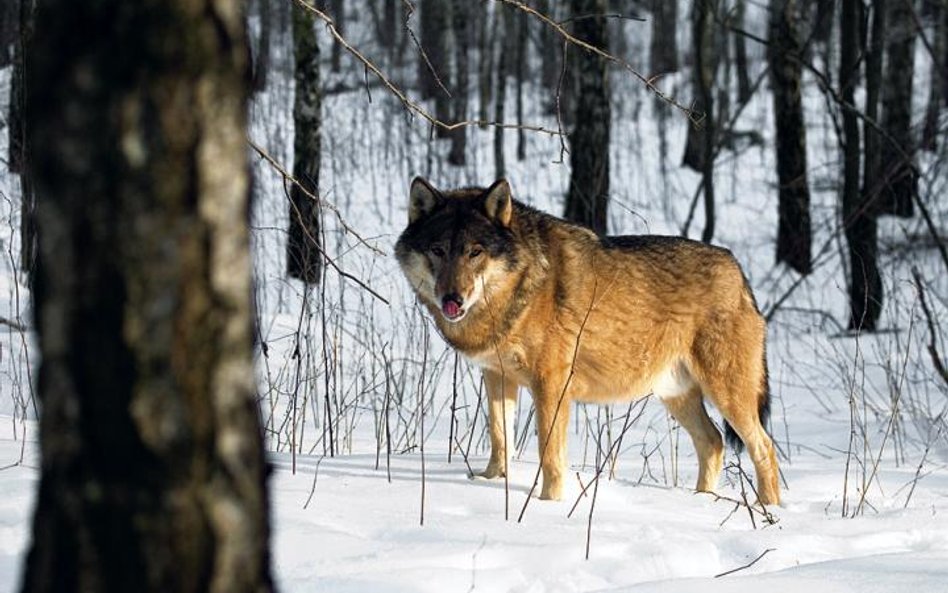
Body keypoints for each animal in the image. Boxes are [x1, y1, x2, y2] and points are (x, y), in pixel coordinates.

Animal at [396, 176, 780, 504]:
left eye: (475, 252)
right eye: (438, 250)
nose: (452, 299)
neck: (517, 291)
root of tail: (738, 270)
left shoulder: (551, 384)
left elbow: (549, 454)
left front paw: (548, 504)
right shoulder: (497, 377)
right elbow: (500, 437)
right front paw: (492, 481)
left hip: (726, 394)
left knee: (764, 447)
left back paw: (767, 510)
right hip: (676, 394)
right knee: (713, 442)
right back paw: (701, 502)